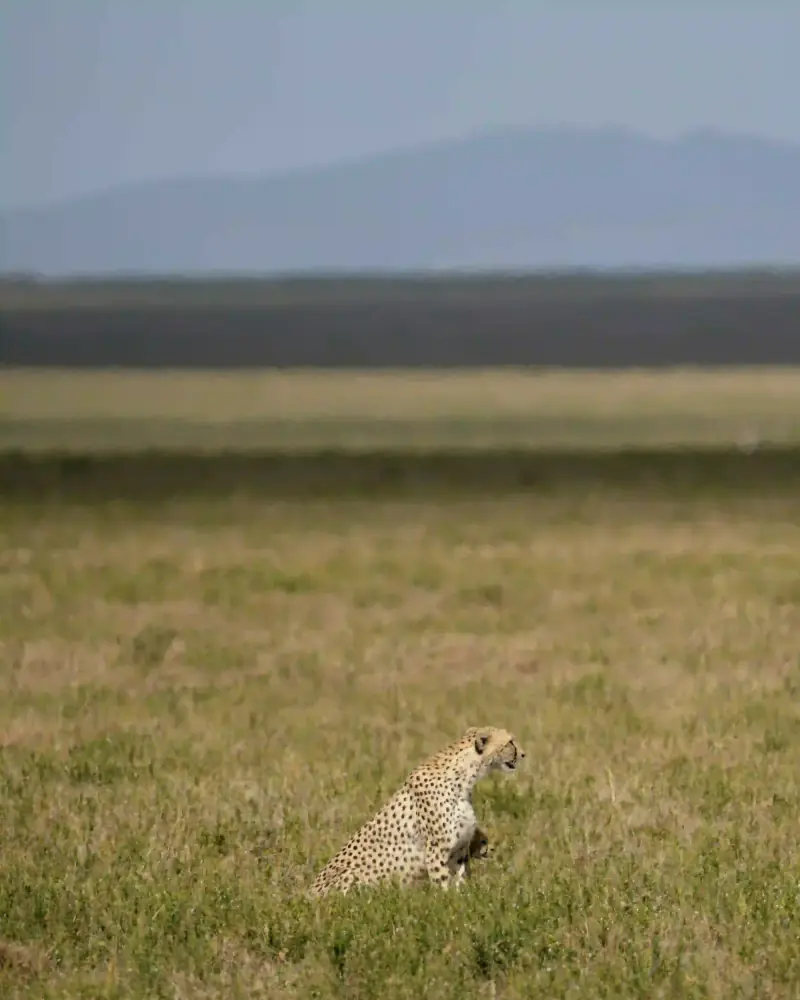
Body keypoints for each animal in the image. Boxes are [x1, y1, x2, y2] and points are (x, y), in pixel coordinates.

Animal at [309, 725, 525, 897]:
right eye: (510, 742)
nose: (523, 754)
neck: (465, 778)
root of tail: (308, 897)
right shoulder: (436, 851)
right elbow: (443, 883)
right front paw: (446, 903)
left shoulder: (459, 850)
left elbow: (461, 880)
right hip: (351, 875)